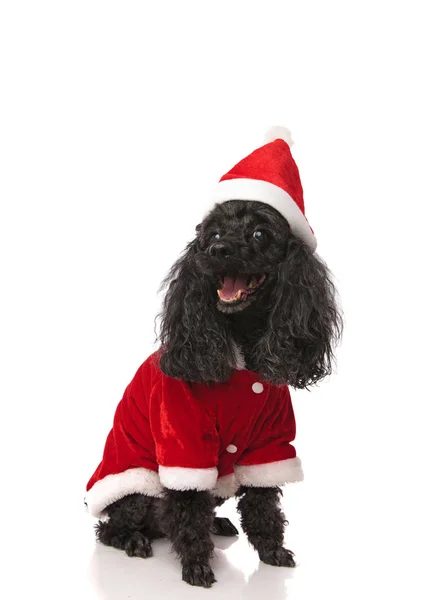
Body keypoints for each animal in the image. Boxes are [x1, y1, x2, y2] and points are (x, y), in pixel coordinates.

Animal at [85, 130, 342, 584]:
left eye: (259, 234)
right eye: (211, 234)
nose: (218, 249)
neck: (241, 346)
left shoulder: (270, 444)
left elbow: (262, 505)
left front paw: (272, 551)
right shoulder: (183, 438)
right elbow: (188, 509)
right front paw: (197, 564)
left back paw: (218, 524)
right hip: (134, 488)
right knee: (116, 525)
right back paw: (135, 540)